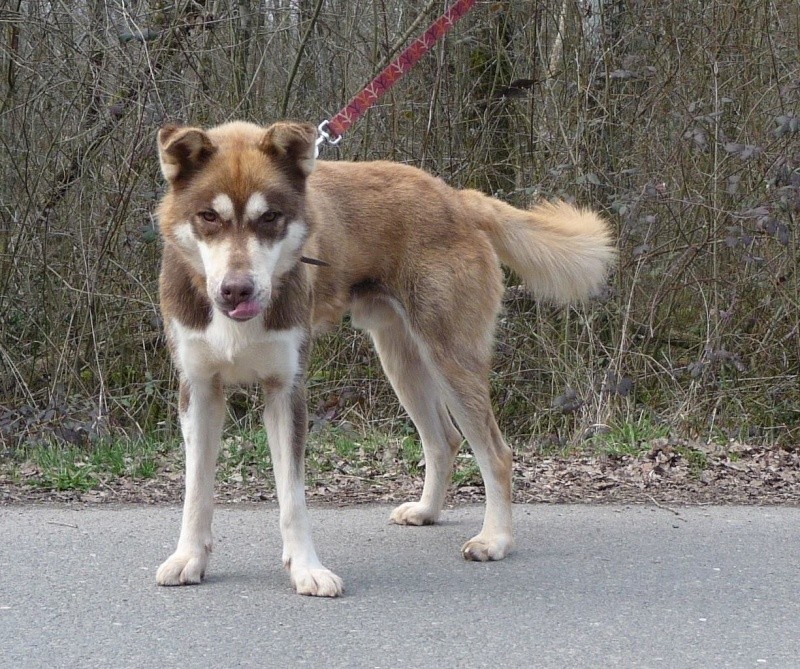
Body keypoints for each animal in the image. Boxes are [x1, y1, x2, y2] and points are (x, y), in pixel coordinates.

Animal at [152, 118, 612, 596]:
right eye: (209, 216)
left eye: (270, 217)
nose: (236, 290)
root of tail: (458, 198)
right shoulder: (199, 391)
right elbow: (196, 491)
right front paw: (188, 558)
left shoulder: (286, 392)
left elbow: (292, 499)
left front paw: (306, 569)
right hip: (401, 362)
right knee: (443, 440)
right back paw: (427, 511)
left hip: (451, 359)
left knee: (496, 454)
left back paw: (495, 538)